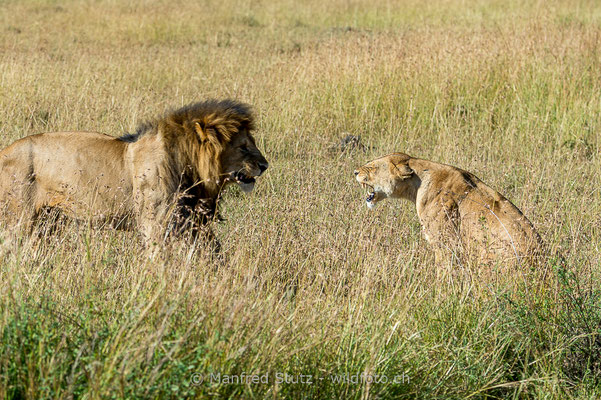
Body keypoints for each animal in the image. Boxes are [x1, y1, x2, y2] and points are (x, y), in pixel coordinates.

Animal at [0, 99, 268, 250]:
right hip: (20, 219)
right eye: (244, 147)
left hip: (47, 221)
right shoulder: (154, 223)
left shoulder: (192, 222)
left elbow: (215, 253)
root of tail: (4, 152)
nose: (265, 165)